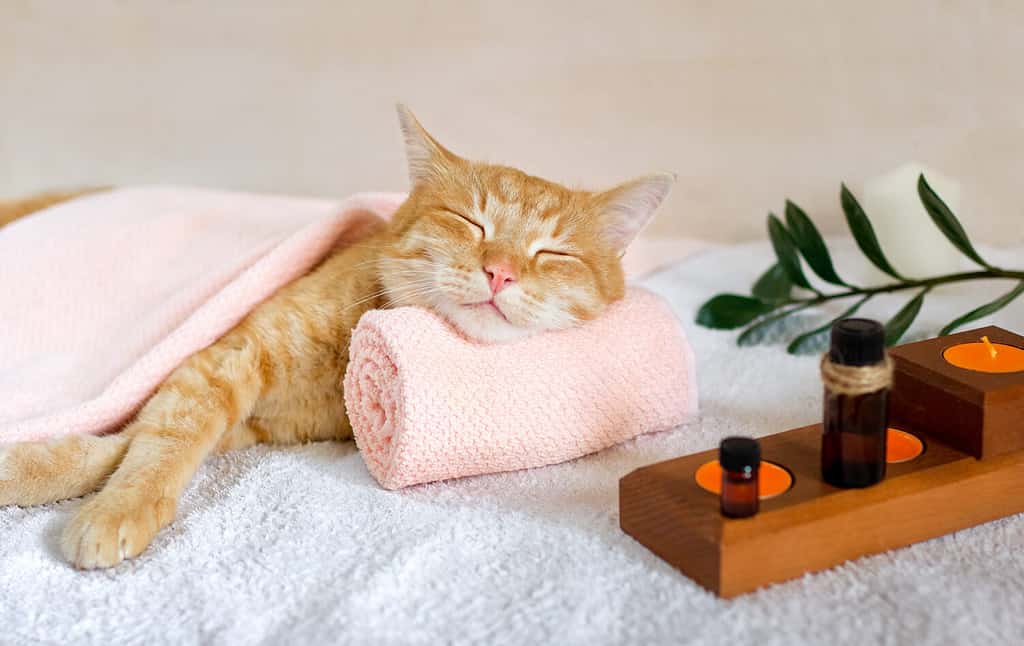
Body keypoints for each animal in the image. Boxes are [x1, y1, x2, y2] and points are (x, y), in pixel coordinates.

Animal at [0, 107, 675, 569]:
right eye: (469, 221)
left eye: (553, 253)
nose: (501, 271)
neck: (341, 360)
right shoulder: (217, 364)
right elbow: (151, 444)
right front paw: (111, 503)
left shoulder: (236, 413)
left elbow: (124, 445)